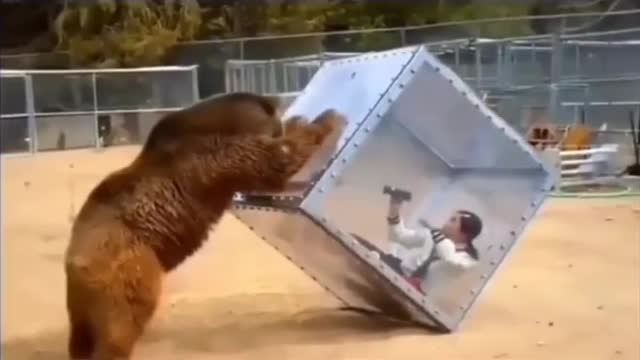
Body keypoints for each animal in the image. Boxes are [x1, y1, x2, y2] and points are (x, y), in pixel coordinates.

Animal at [64, 93, 344, 360]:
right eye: (275, 123)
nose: (282, 122)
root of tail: (75, 262)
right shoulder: (219, 156)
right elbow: (275, 161)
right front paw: (330, 117)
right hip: (129, 269)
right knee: (123, 323)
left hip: (84, 305)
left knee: (82, 337)